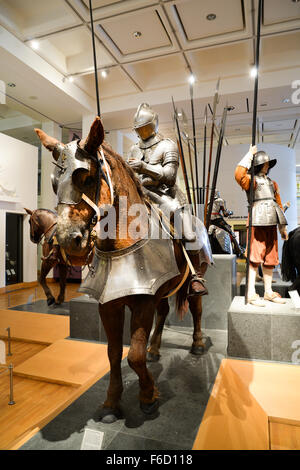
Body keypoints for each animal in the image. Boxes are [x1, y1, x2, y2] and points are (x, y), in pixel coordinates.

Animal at [35, 117, 212, 422]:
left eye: (86, 177)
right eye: (54, 182)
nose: (69, 240)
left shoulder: (142, 301)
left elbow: (134, 355)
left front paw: (148, 397)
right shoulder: (111, 304)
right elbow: (114, 352)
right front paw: (111, 403)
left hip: (193, 276)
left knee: (197, 308)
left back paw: (197, 343)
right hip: (162, 290)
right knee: (163, 313)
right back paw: (155, 347)